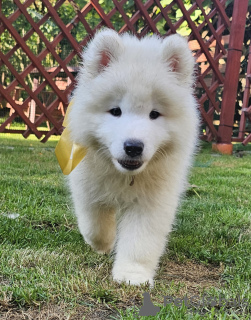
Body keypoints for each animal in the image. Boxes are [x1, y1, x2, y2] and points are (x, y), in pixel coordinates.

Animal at [67, 28, 199, 286]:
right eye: (115, 111)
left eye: (154, 114)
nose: (133, 147)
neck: (124, 175)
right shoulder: (87, 184)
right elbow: (94, 223)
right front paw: (104, 243)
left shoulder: (152, 202)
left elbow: (140, 241)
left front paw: (132, 275)